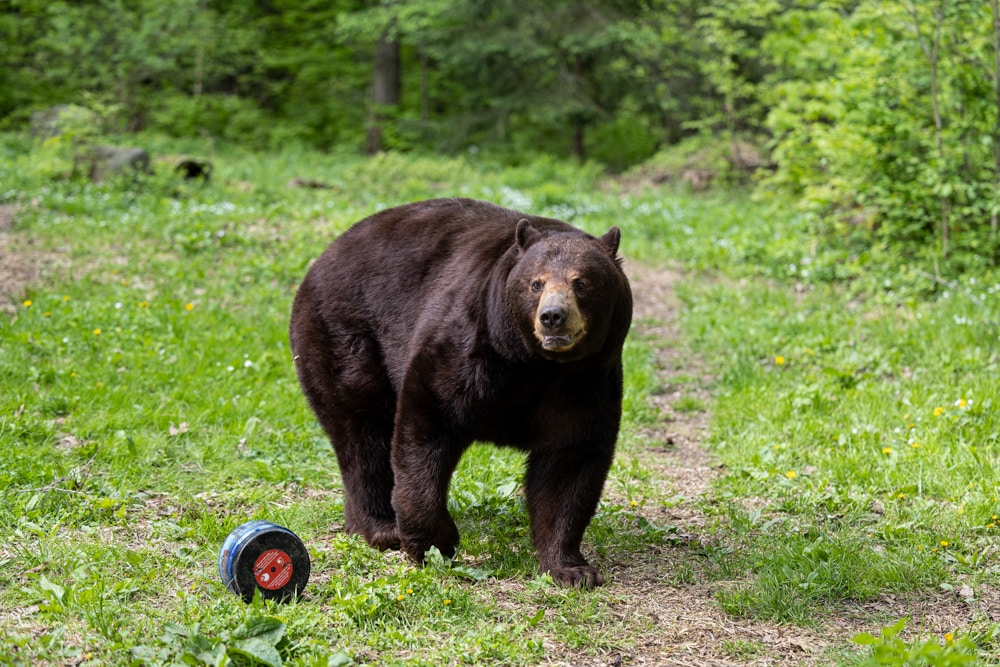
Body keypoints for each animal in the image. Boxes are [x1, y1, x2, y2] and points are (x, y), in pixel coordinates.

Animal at [289, 198, 632, 588]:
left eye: (582, 282)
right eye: (536, 283)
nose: (552, 316)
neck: (536, 365)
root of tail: (322, 258)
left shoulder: (586, 379)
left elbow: (571, 459)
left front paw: (571, 568)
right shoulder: (469, 349)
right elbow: (427, 425)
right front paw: (436, 541)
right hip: (346, 337)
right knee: (362, 432)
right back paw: (383, 527)